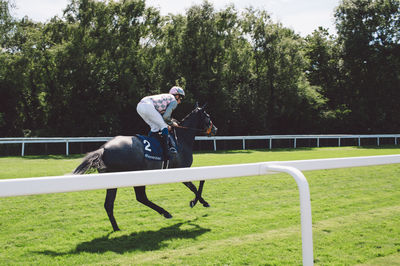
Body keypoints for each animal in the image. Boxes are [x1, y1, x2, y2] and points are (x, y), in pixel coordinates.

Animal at [72, 104, 216, 231]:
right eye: (208, 116)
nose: (215, 129)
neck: (180, 139)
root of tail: (103, 149)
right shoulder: (182, 170)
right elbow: (195, 186)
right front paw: (199, 202)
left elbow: (196, 186)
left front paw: (199, 202)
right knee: (140, 197)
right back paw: (165, 212)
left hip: (114, 180)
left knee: (109, 204)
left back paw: (116, 228)